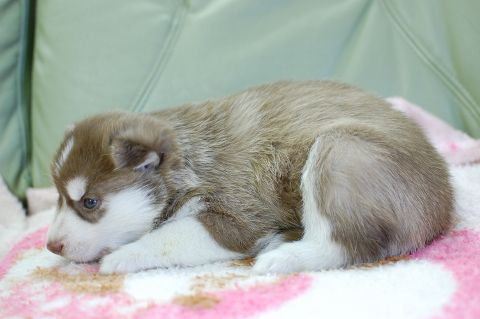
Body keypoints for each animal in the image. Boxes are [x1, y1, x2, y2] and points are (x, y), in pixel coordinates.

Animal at [46, 80, 454, 276]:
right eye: (58, 198)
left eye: (90, 202)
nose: (51, 246)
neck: (189, 158)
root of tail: (443, 205)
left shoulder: (236, 215)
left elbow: (170, 236)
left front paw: (124, 255)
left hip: (341, 152)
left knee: (345, 245)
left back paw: (285, 255)